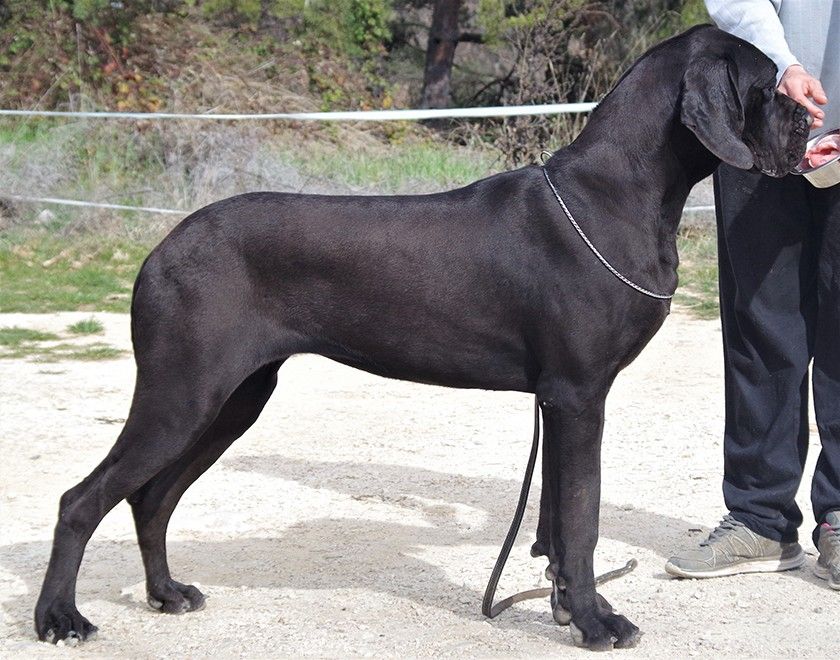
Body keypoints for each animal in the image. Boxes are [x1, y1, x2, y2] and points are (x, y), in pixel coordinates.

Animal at [34, 25, 808, 651]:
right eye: (769, 82)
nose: (809, 112)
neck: (614, 195)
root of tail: (160, 248)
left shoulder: (557, 401)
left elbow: (559, 521)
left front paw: (566, 606)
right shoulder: (579, 395)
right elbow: (583, 517)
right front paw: (596, 622)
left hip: (234, 398)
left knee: (152, 498)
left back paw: (165, 594)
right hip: (182, 391)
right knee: (81, 500)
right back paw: (59, 619)